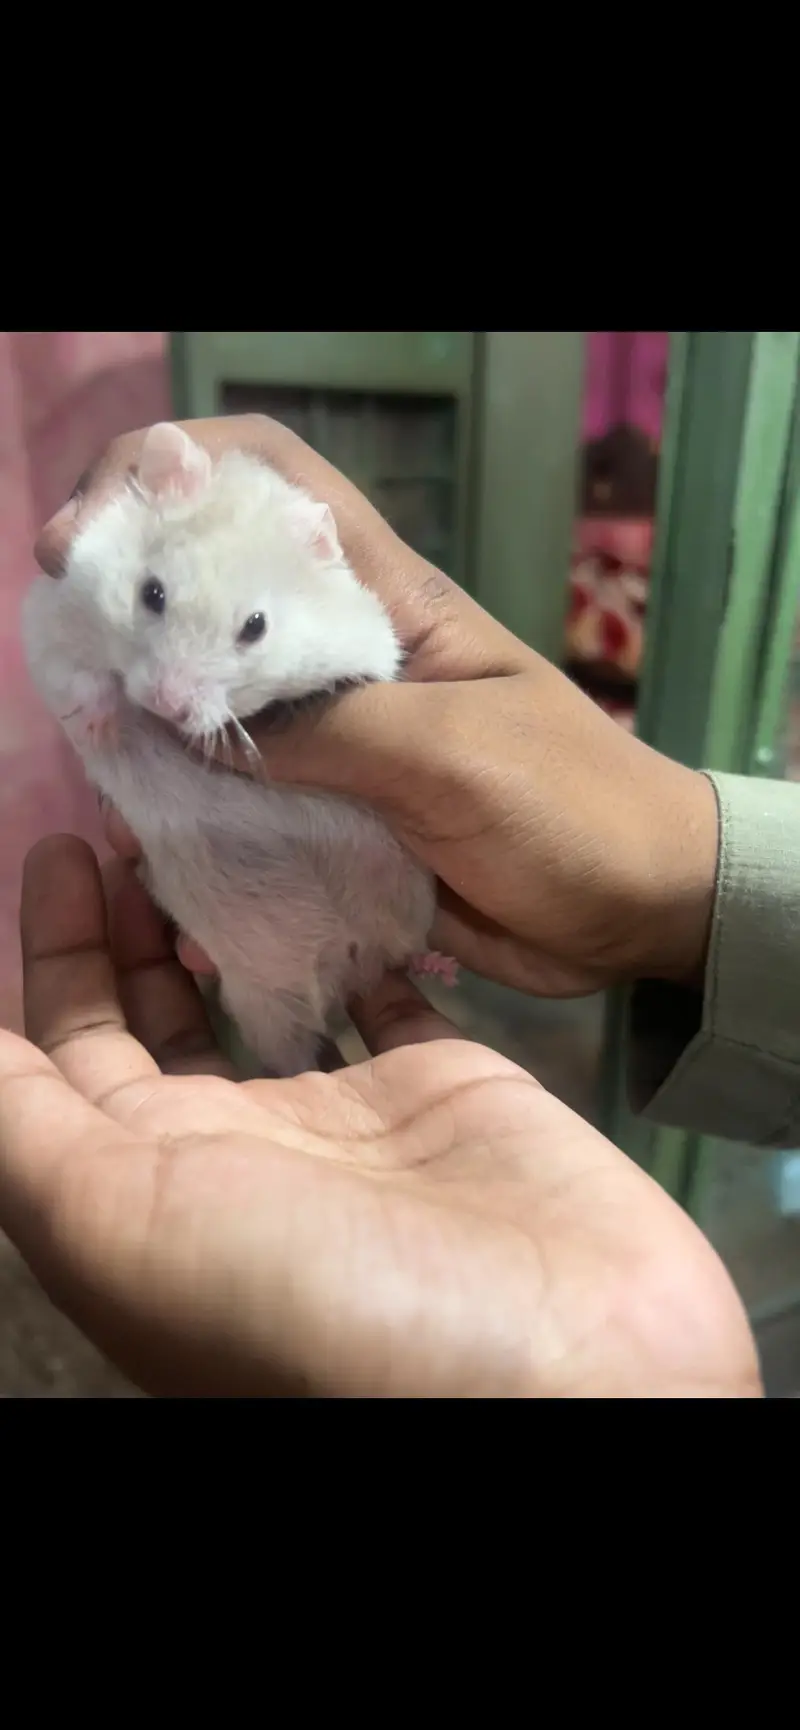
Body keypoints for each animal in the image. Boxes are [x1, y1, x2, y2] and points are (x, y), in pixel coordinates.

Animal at [22, 421, 454, 1078]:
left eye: (256, 626)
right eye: (151, 593)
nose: (168, 704)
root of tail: (339, 963)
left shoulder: (368, 642)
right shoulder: (49, 618)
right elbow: (79, 676)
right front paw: (101, 724)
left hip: (407, 900)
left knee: (405, 953)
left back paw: (440, 968)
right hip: (265, 997)